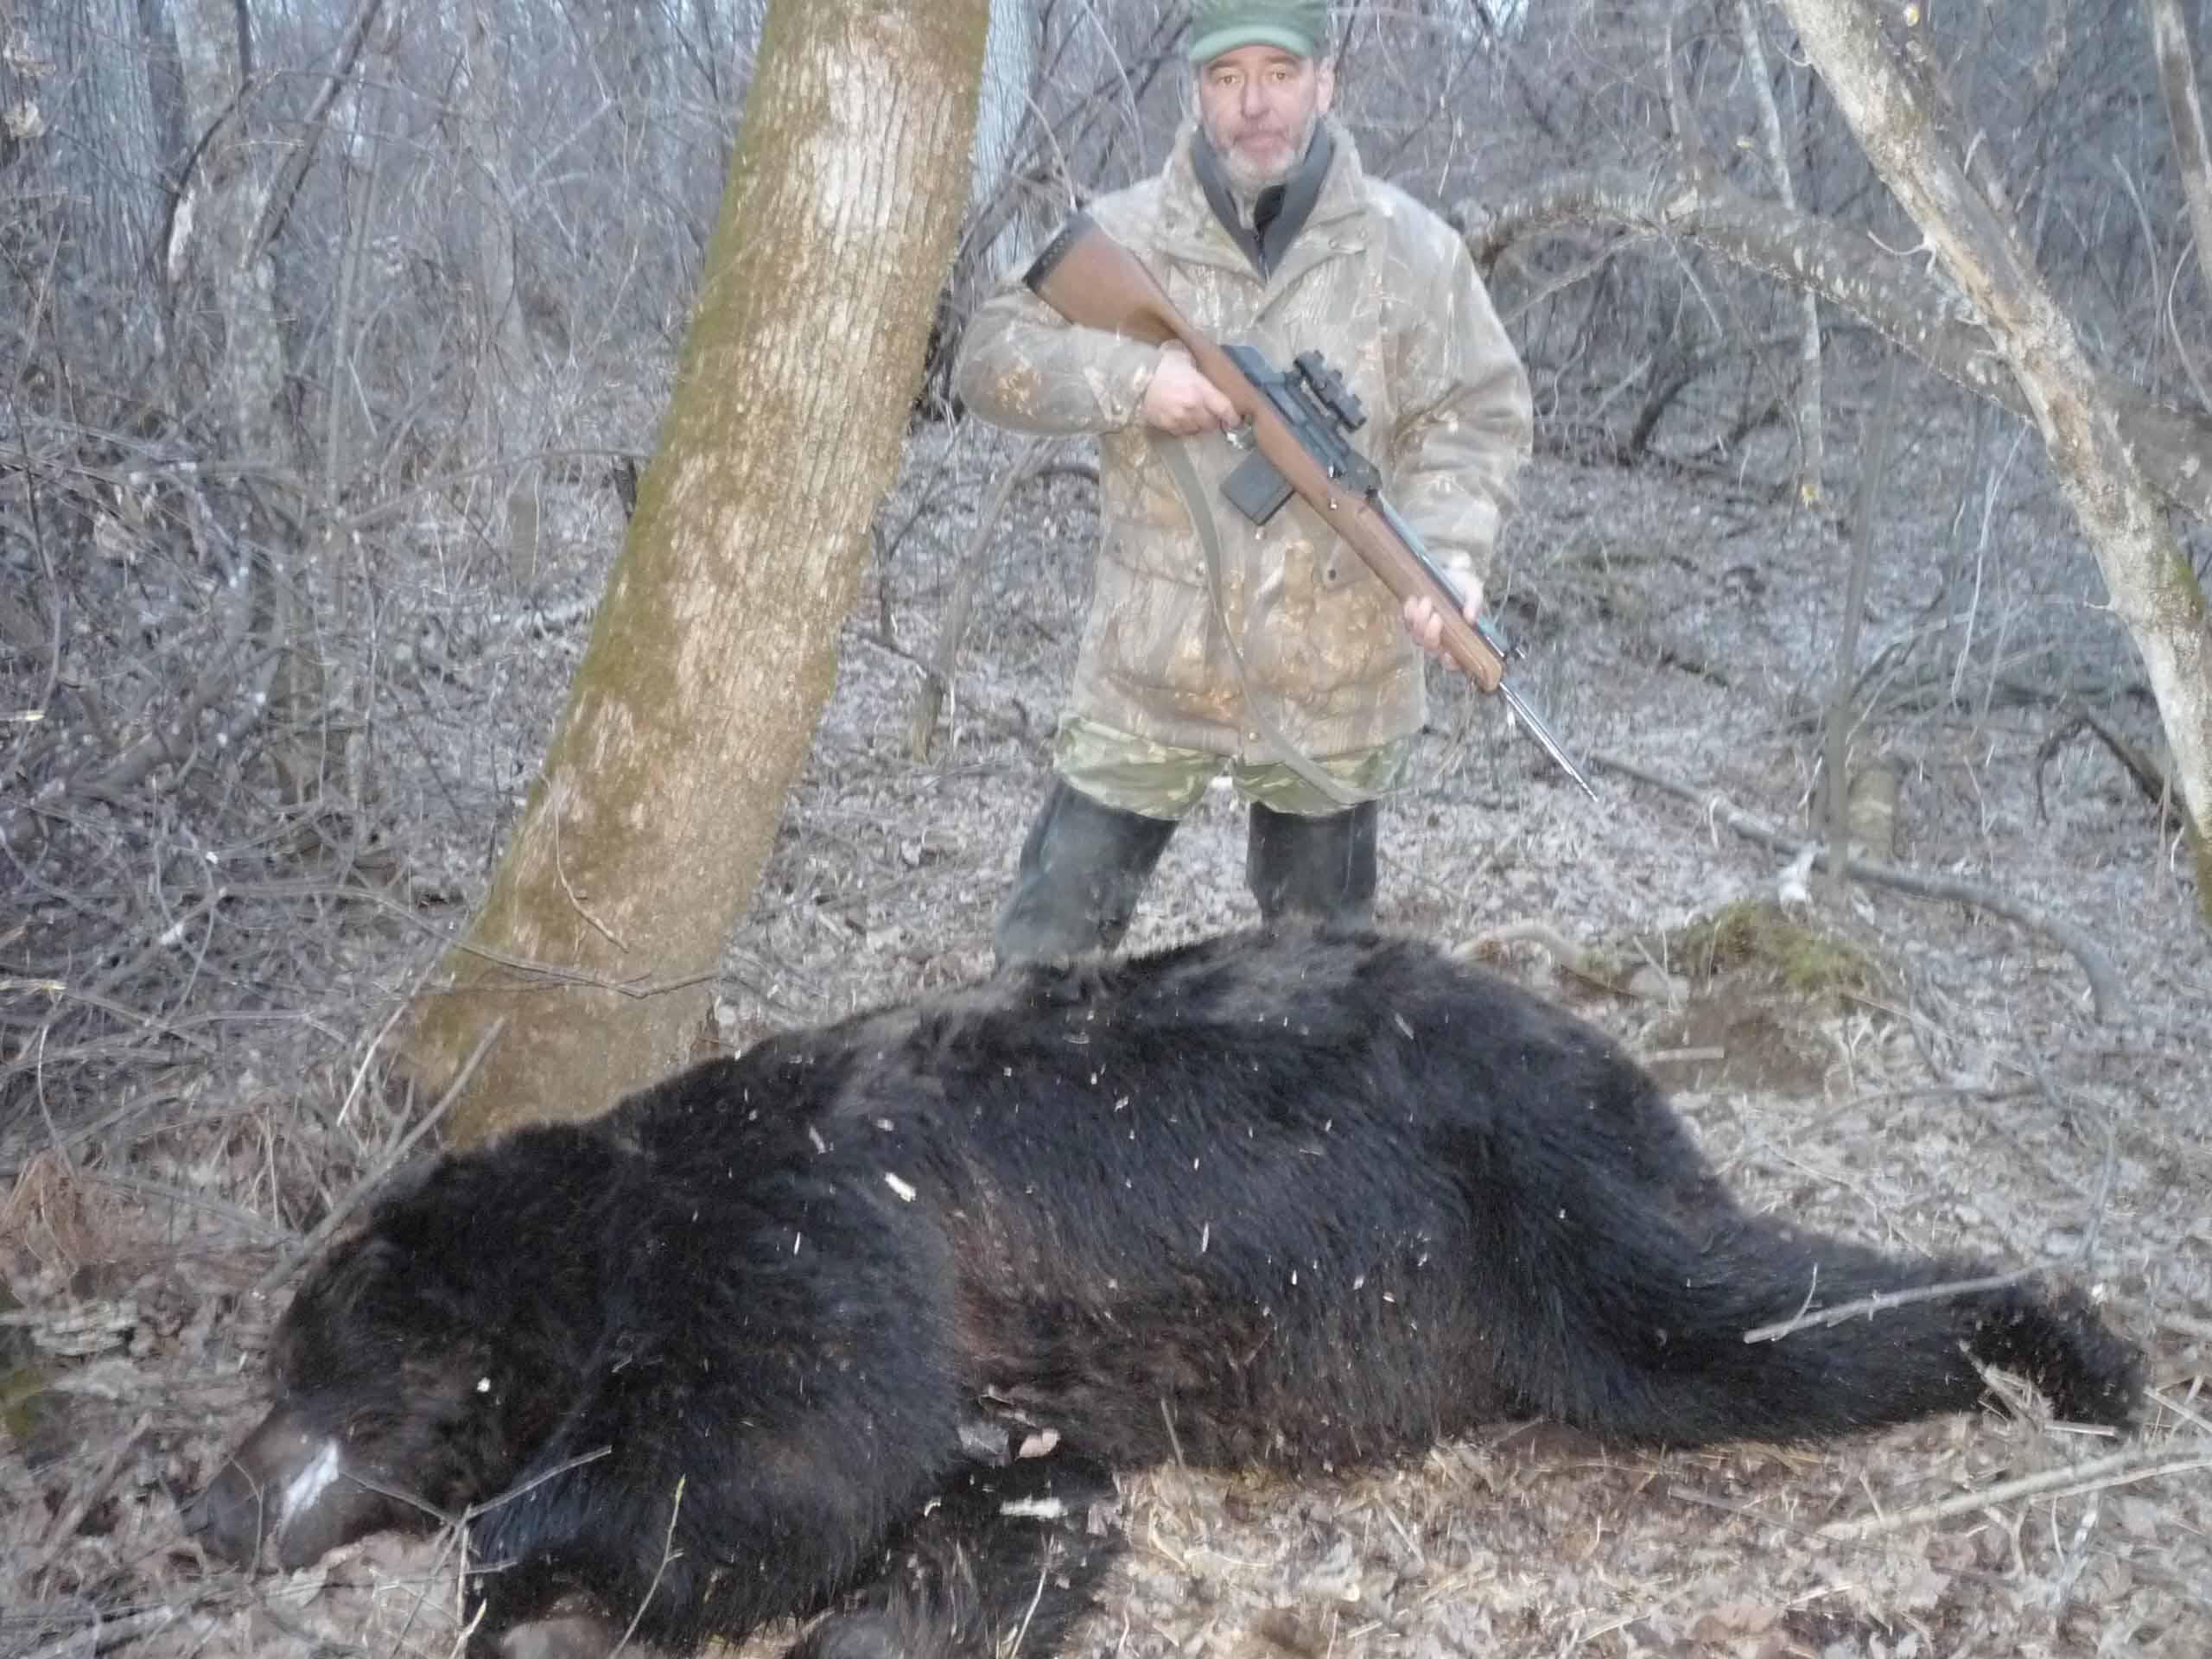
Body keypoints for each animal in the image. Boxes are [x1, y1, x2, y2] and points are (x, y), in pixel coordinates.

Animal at [189, 925, 2142, 1659]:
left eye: (299, 1360)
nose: (203, 1507)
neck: (615, 1223)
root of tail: (1599, 1047)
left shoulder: (807, 1227)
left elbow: (780, 1459)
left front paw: (520, 1556)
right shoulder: (1002, 1390)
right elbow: (998, 1507)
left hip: (1535, 1207)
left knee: (1734, 1319)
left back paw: (2071, 1341)